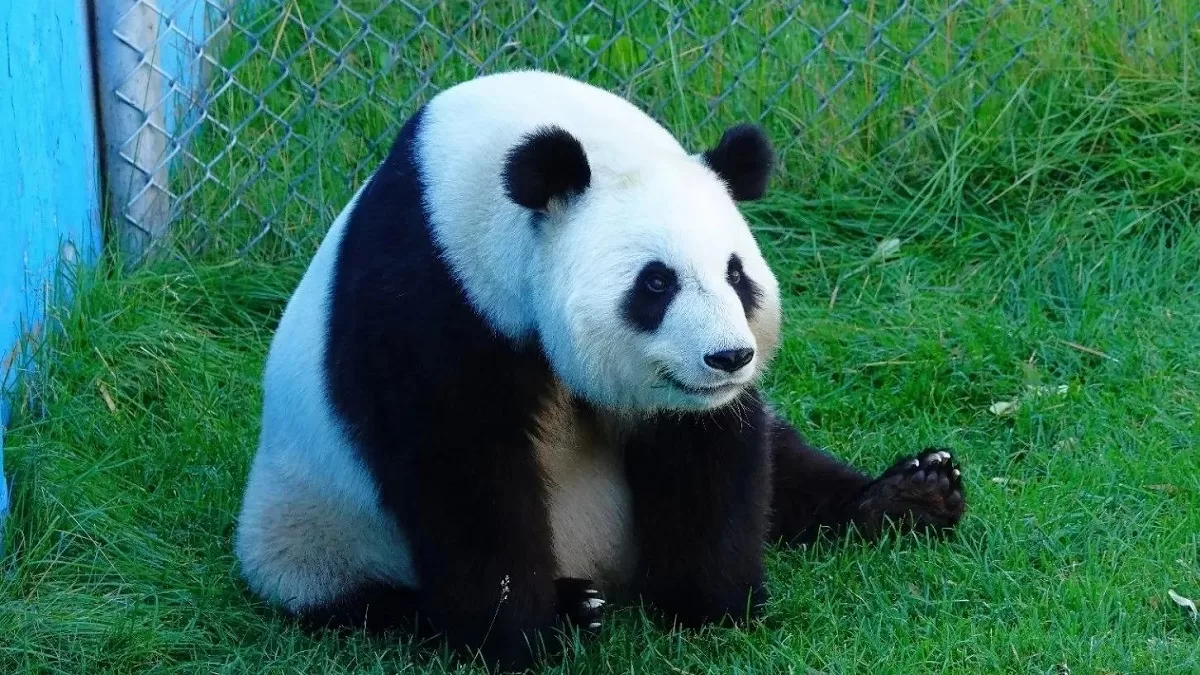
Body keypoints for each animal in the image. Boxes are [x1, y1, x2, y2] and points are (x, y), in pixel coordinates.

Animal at [233, 70, 965, 672]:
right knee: (358, 600)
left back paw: (911, 494)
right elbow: (461, 469)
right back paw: (565, 605)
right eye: (656, 283)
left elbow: (705, 451)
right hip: (313, 534)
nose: (729, 358)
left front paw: (714, 606)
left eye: (737, 274)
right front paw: (523, 636)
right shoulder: (426, 295)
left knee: (784, 463)